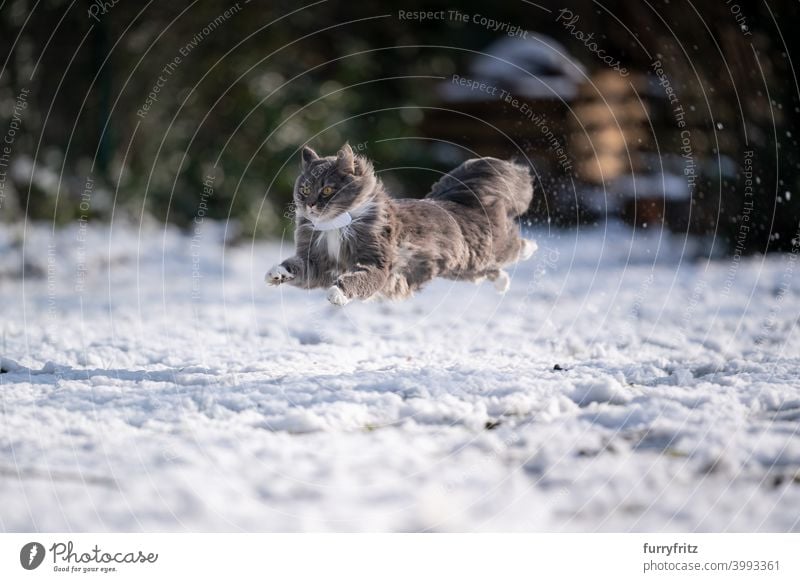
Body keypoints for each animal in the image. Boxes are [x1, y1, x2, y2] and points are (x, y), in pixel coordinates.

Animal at [266, 145, 536, 306]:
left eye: (327, 190)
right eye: (305, 189)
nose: (310, 204)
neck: (336, 226)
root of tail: (460, 198)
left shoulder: (375, 264)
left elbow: (355, 280)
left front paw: (336, 293)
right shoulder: (317, 263)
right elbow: (296, 267)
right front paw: (276, 273)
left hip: (485, 250)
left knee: (514, 245)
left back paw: (530, 249)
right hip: (462, 267)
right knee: (490, 271)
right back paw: (503, 284)